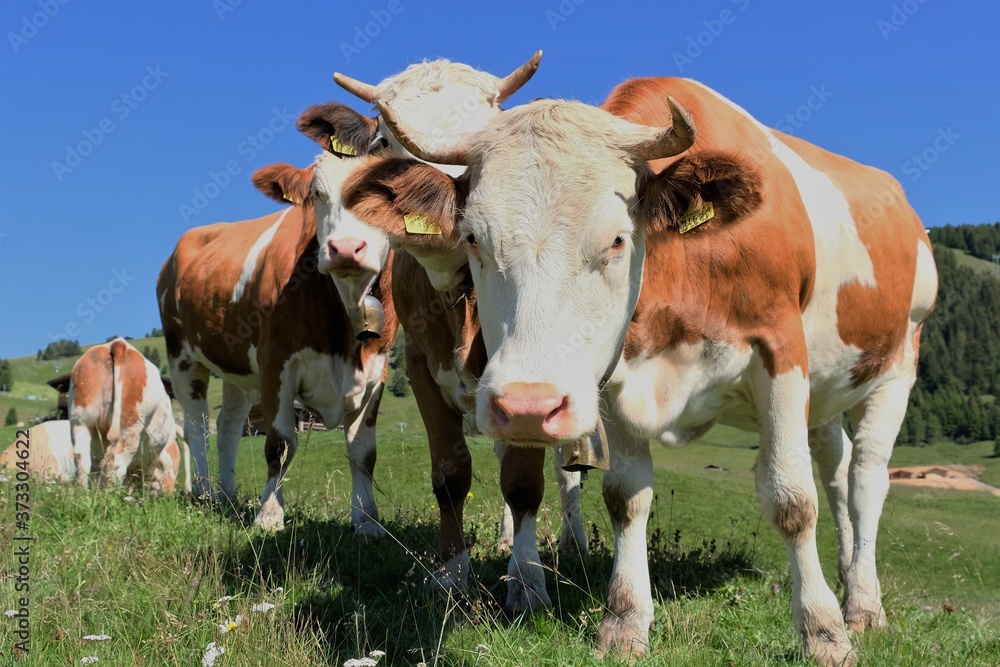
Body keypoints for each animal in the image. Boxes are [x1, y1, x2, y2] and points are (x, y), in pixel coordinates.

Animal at [70, 342, 189, 494]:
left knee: (82, 460)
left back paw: (85, 493)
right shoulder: (167, 469)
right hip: (129, 429)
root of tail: (118, 343)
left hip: (80, 422)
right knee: (115, 464)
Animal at [332, 54, 588, 608]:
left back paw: (568, 543)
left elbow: (523, 481)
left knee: (564, 471)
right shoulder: (422, 368)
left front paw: (528, 584)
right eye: (383, 142)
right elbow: (450, 476)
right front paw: (450, 574)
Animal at [350, 79, 936, 667]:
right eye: (473, 237)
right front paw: (626, 619)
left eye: (616, 239)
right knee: (837, 470)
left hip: (897, 365)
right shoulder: (614, 371)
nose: (528, 407)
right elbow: (626, 497)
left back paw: (862, 603)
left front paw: (823, 631)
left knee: (866, 478)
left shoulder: (781, 350)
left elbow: (791, 497)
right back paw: (847, 572)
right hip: (828, 396)